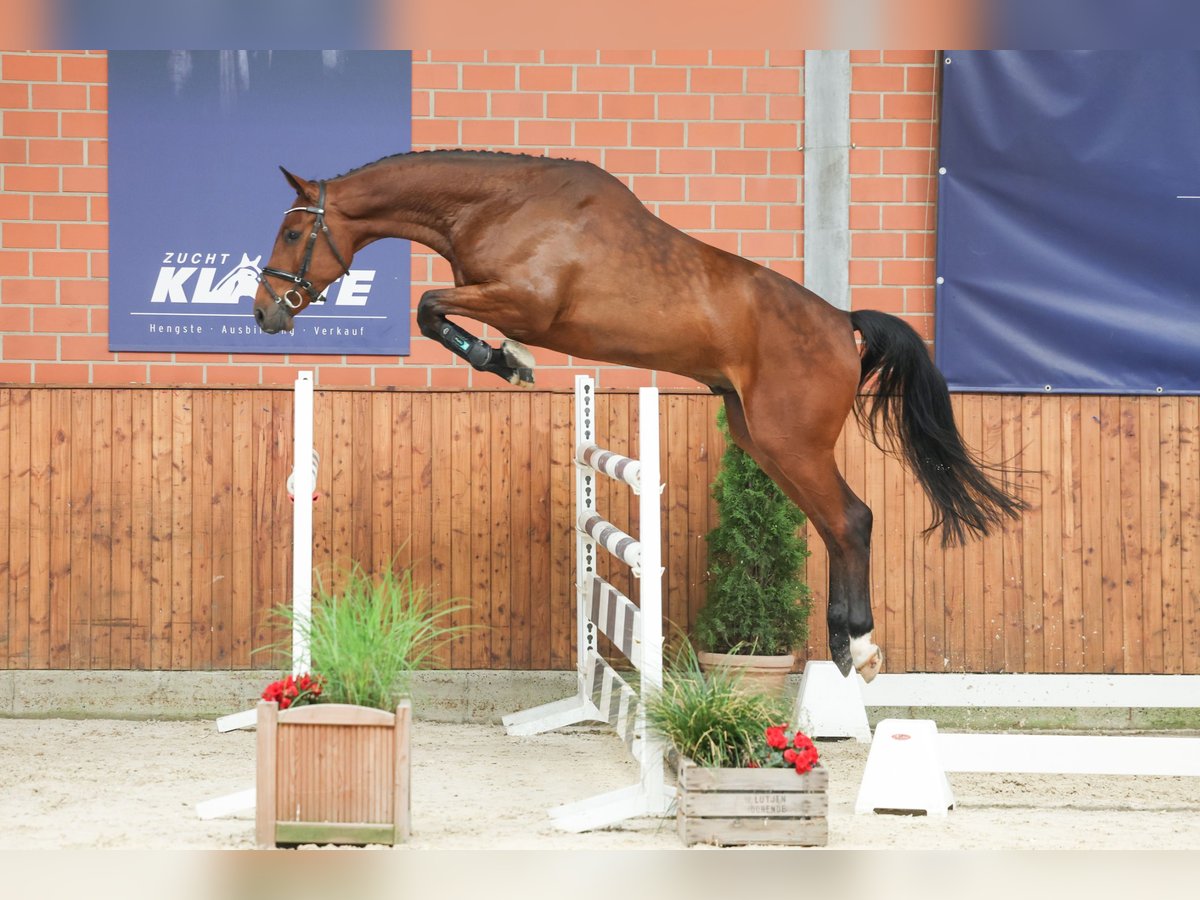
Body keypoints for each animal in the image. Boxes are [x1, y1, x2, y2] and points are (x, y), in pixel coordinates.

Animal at [253, 150, 1022, 681]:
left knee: (852, 520)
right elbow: (434, 308)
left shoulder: (523, 301)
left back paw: (858, 647)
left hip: (790, 441)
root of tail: (843, 324)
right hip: (761, 439)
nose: (264, 313)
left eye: (291, 233)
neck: (501, 205)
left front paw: (509, 362)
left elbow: (430, 306)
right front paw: (508, 359)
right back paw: (842, 645)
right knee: (835, 527)